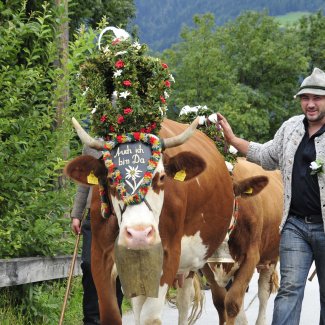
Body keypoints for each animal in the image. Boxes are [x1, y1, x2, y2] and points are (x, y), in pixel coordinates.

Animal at [64, 117, 268, 322]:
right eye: (111, 179)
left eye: (161, 177)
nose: (139, 234)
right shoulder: (100, 254)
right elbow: (112, 314)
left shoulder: (169, 253)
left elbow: (150, 317)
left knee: (187, 303)